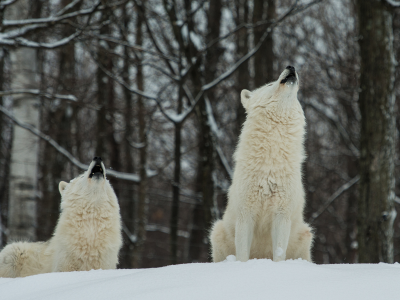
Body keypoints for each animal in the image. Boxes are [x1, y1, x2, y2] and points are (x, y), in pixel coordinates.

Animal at [209, 66, 312, 262]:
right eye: (270, 84)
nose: (291, 67)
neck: (271, 162)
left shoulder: (282, 216)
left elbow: (279, 253)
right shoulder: (245, 215)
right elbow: (242, 255)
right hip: (217, 231)